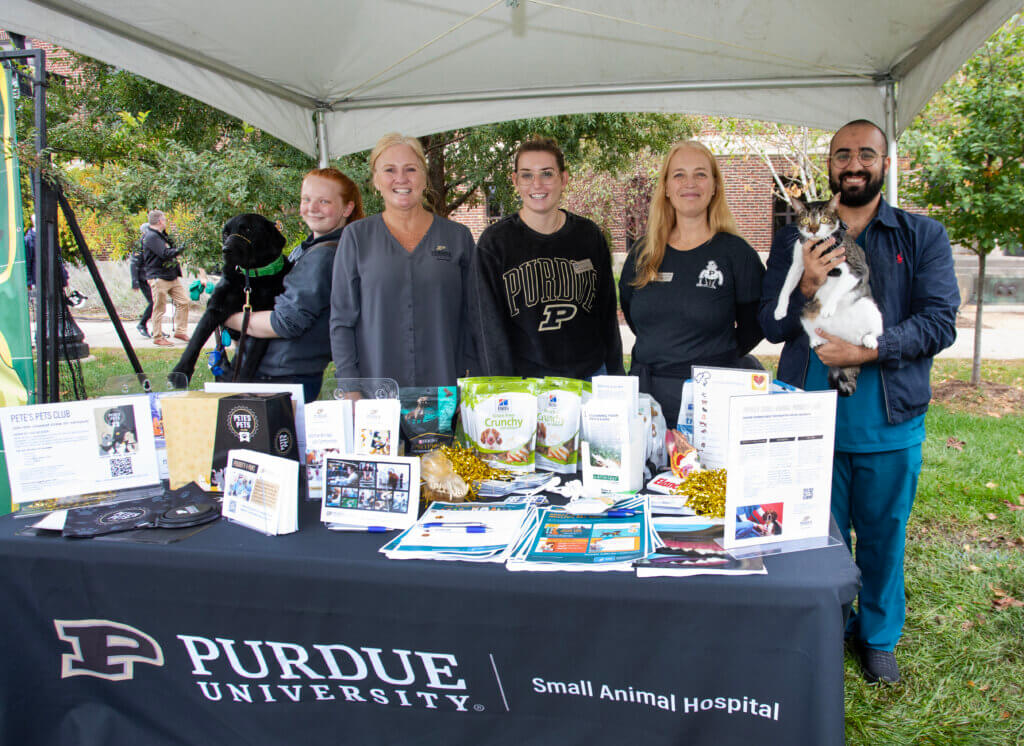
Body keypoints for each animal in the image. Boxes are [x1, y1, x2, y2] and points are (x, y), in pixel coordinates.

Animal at [169, 212, 286, 380]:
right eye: (225, 234)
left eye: (247, 229)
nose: (225, 250)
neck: (251, 281)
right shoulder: (215, 307)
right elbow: (196, 340)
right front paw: (180, 372)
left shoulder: (264, 322)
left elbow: (250, 362)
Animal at [770, 195, 884, 399]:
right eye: (806, 220)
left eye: (823, 219)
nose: (813, 229)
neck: (818, 245)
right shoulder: (798, 264)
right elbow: (786, 286)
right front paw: (780, 310)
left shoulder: (856, 269)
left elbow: (838, 289)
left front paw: (829, 308)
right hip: (806, 309)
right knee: (809, 325)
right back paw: (816, 339)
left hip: (868, 305)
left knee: (875, 330)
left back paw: (869, 340)